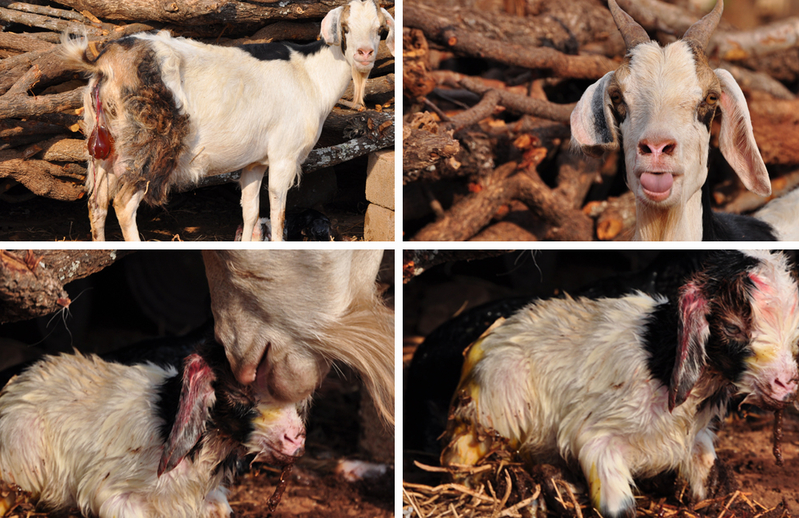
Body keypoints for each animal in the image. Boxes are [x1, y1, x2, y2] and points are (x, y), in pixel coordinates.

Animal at [60, 0, 395, 241]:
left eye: (381, 30)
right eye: (346, 28)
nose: (365, 54)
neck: (311, 76)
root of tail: (105, 63)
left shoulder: (255, 162)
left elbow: (251, 214)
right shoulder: (283, 157)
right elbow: (278, 214)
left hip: (102, 148)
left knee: (97, 204)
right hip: (147, 148)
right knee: (123, 204)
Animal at [441, 250, 799, 518]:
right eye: (733, 327)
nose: (786, 384)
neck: (659, 362)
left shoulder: (696, 439)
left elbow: (710, 482)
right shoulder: (596, 438)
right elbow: (618, 506)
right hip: (492, 411)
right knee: (460, 462)